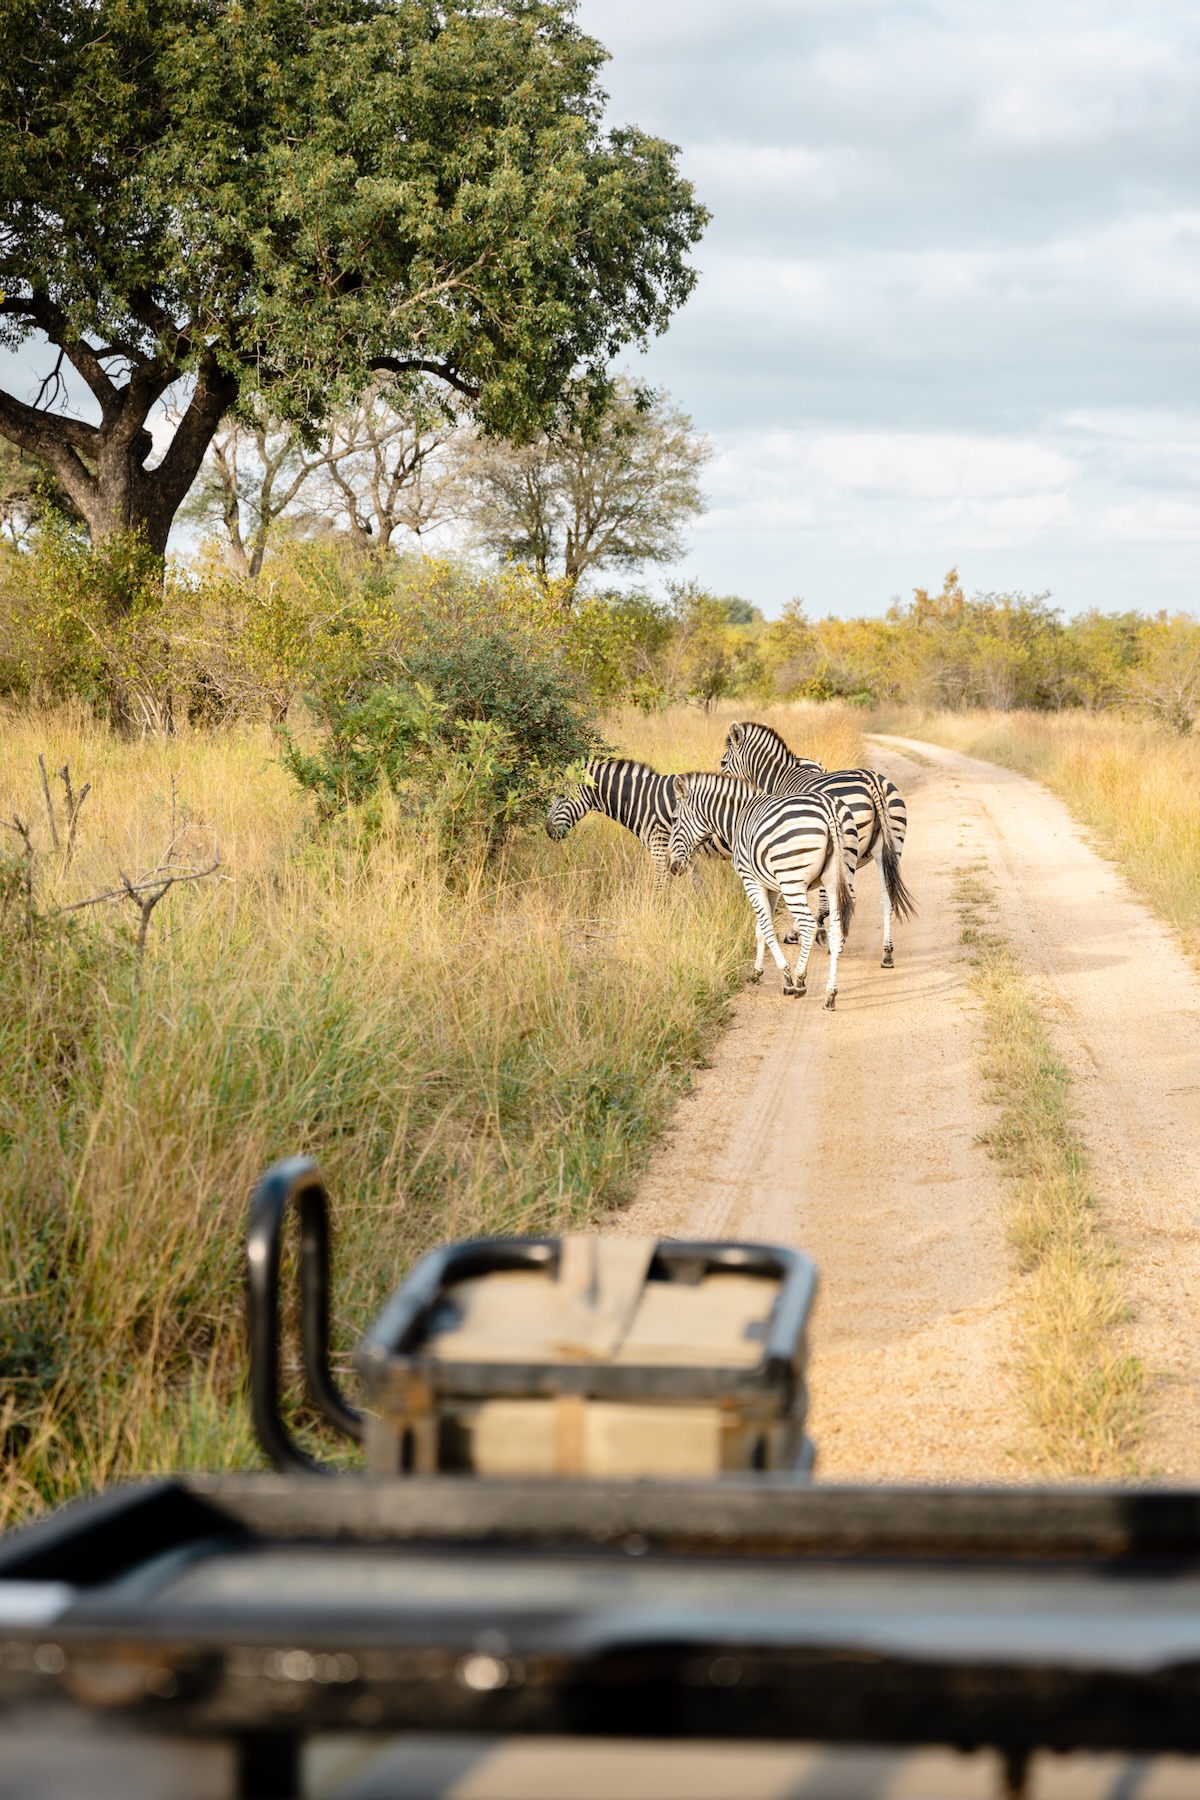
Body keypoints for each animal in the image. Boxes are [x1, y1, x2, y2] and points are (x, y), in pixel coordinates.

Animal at [672, 766, 859, 1008]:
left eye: (675, 819)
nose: (674, 867)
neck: (738, 817)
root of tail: (829, 809)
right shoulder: (770, 886)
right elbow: (760, 928)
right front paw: (756, 971)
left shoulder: (751, 880)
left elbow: (767, 926)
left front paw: (786, 976)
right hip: (839, 878)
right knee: (837, 929)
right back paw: (830, 994)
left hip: (792, 882)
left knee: (808, 925)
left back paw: (800, 980)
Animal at [719, 720, 913, 972]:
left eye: (723, 763)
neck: (779, 779)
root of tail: (873, 784)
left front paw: (800, 932)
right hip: (890, 847)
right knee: (886, 895)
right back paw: (886, 954)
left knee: (848, 898)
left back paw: (838, 944)